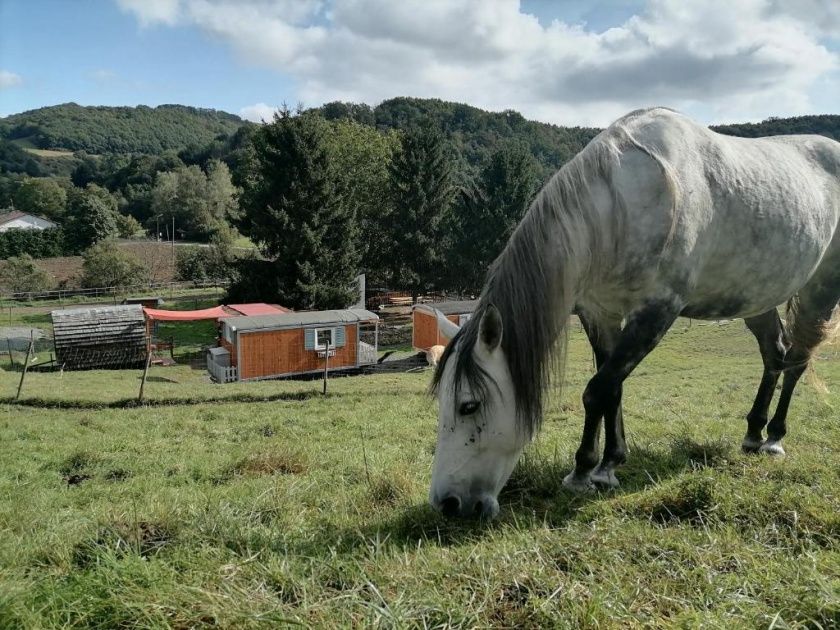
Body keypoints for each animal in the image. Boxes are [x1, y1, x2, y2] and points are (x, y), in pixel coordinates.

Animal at [430, 108, 840, 520]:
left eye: (469, 405)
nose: (447, 503)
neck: (623, 204)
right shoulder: (600, 314)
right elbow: (612, 387)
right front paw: (609, 465)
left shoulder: (656, 313)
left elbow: (597, 390)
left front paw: (583, 471)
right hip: (756, 298)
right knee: (774, 354)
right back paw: (754, 434)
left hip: (820, 291)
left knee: (797, 360)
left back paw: (774, 438)